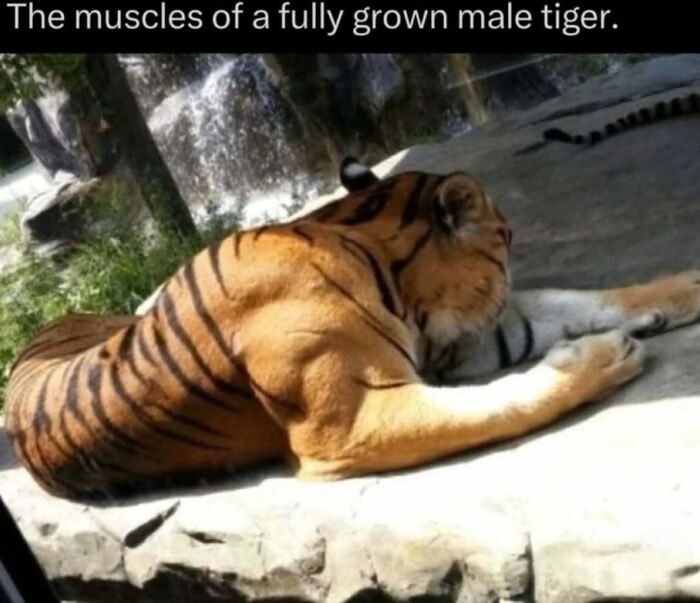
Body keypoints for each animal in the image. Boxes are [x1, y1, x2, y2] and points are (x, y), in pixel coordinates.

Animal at [5, 157, 700, 500]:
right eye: (505, 239)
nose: (506, 258)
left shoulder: (465, 341)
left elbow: (571, 298)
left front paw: (679, 291)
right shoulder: (353, 419)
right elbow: (505, 401)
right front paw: (602, 356)